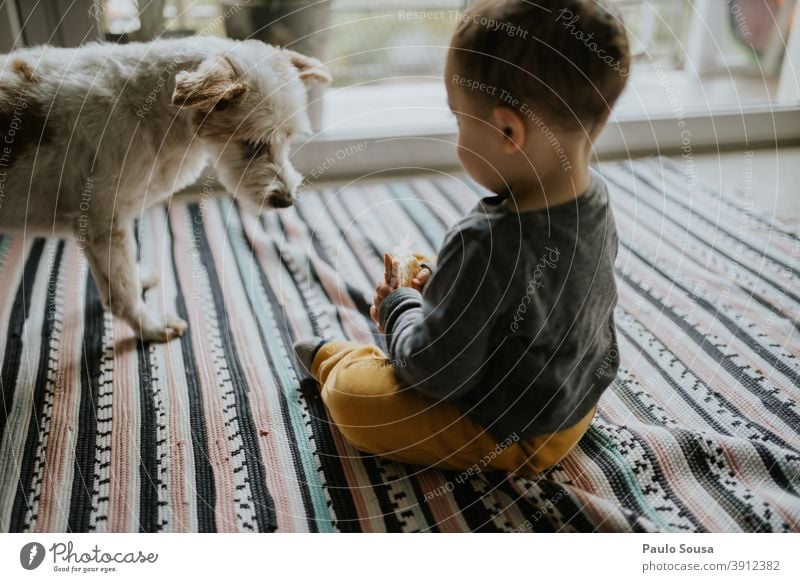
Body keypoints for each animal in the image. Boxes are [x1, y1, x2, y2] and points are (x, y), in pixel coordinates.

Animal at [0, 37, 330, 342]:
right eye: (253, 144)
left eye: (289, 140)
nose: (286, 201)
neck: (145, 111)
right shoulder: (100, 224)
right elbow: (122, 292)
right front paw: (151, 327)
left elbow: (121, 278)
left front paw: (138, 282)